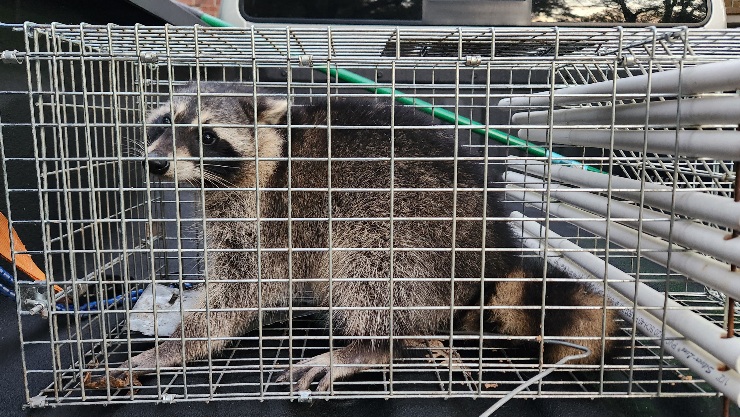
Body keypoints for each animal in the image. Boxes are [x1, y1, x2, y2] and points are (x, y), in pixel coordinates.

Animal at [97, 82, 615, 392]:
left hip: (413, 226)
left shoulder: (267, 215)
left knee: (372, 264)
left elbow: (242, 292)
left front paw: (174, 347)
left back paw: (372, 345)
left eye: (206, 137)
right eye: (165, 122)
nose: (155, 163)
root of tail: (492, 245)